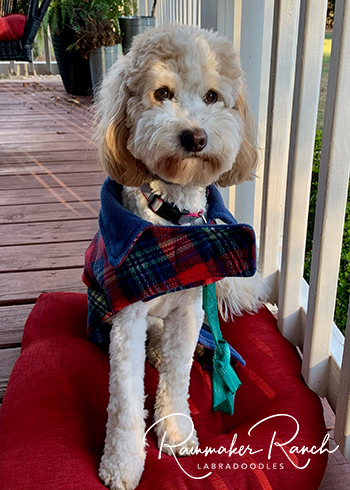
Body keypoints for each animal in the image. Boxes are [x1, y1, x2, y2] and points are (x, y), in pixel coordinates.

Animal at [93, 23, 268, 490]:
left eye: (212, 96)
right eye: (162, 93)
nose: (196, 136)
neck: (172, 226)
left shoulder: (189, 312)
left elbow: (176, 375)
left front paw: (176, 432)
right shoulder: (128, 318)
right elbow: (124, 397)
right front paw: (122, 462)